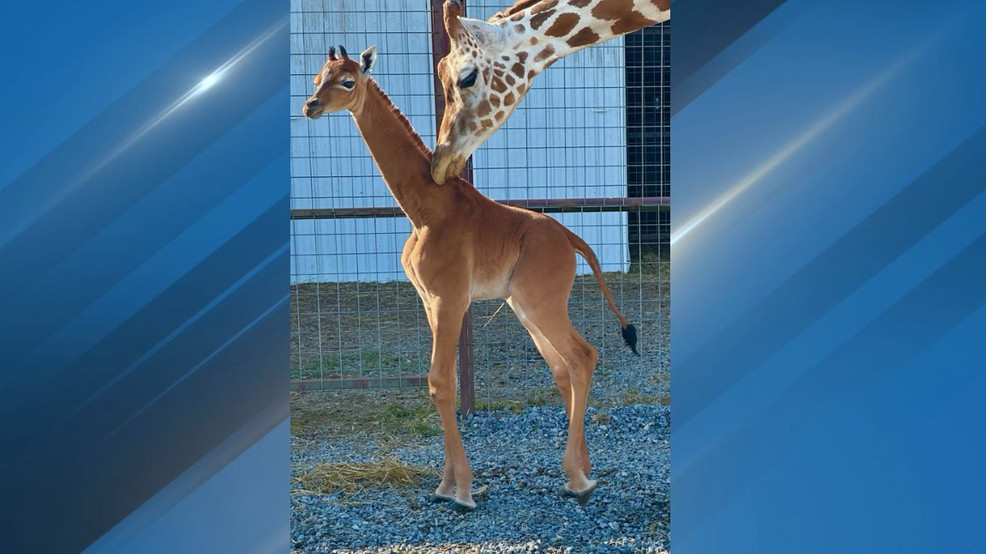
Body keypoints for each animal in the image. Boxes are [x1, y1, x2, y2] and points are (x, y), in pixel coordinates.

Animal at [302, 45, 638, 512]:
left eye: (348, 81)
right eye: (317, 77)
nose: (310, 106)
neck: (424, 210)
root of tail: (571, 238)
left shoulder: (450, 299)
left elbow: (440, 382)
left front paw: (461, 490)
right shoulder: (430, 301)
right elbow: (442, 383)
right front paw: (446, 485)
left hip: (541, 302)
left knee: (582, 355)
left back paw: (578, 479)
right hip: (524, 307)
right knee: (562, 366)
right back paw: (583, 471)